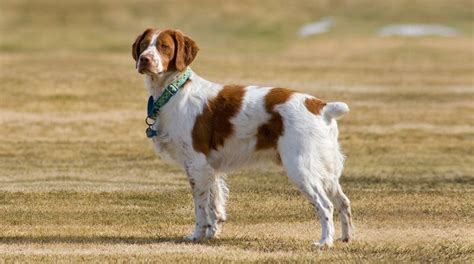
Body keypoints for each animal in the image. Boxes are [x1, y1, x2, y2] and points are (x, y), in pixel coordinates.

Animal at [131, 27, 354, 246]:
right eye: (144, 45)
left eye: (164, 46)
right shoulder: (210, 168)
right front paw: (212, 234)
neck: (175, 91)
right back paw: (346, 238)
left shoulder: (196, 164)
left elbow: (201, 208)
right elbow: (215, 204)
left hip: (300, 167)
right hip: (325, 169)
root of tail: (321, 106)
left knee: (325, 205)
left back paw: (325, 241)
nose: (144, 59)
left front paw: (196, 235)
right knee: (343, 201)